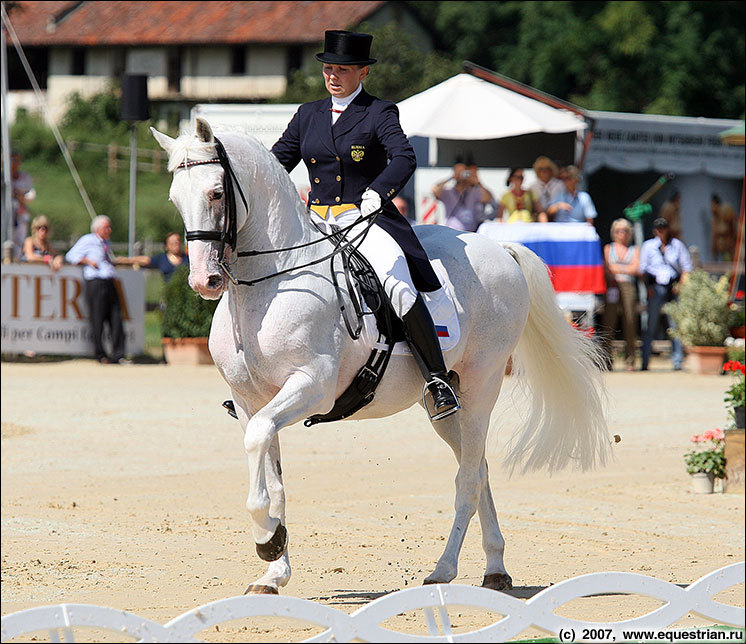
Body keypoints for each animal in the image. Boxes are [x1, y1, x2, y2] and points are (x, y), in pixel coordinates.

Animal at [151, 119, 612, 592]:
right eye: (175, 199)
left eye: (216, 193)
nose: (203, 281)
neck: (269, 284)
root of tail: (499, 249)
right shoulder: (249, 401)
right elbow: (270, 468)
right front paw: (274, 567)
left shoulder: (311, 387)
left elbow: (260, 440)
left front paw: (267, 539)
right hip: (446, 405)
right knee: (478, 467)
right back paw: (495, 569)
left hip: (482, 385)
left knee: (467, 478)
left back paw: (443, 570)